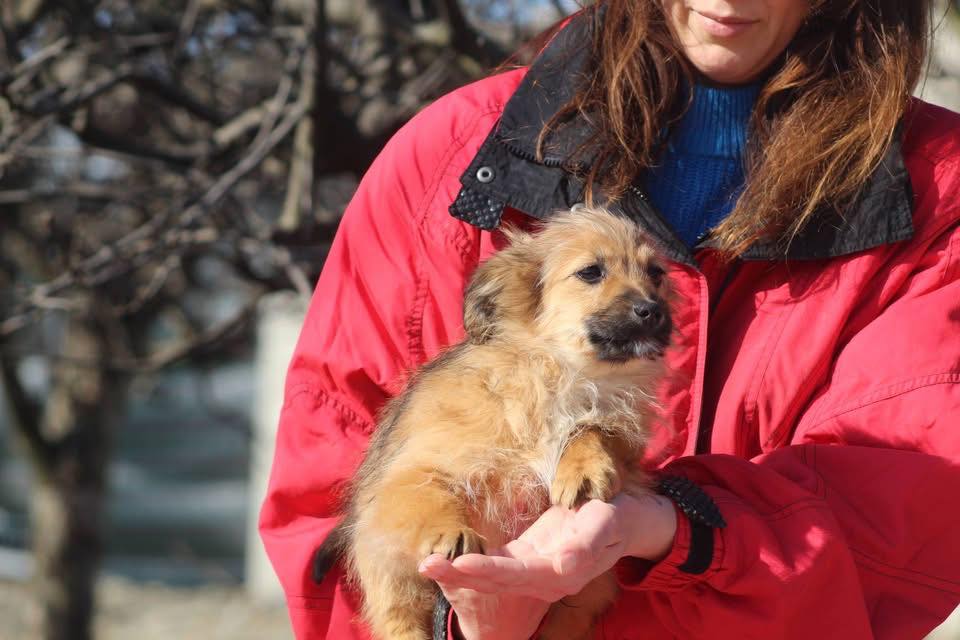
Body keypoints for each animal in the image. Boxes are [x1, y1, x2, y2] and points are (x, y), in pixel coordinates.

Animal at [314, 206, 673, 640]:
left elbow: (592, 428)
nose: (653, 309)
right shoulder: (412, 469)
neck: (562, 374)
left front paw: (583, 466)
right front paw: (449, 531)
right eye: (590, 272)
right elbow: (430, 494)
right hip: (393, 588)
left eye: (656, 273)